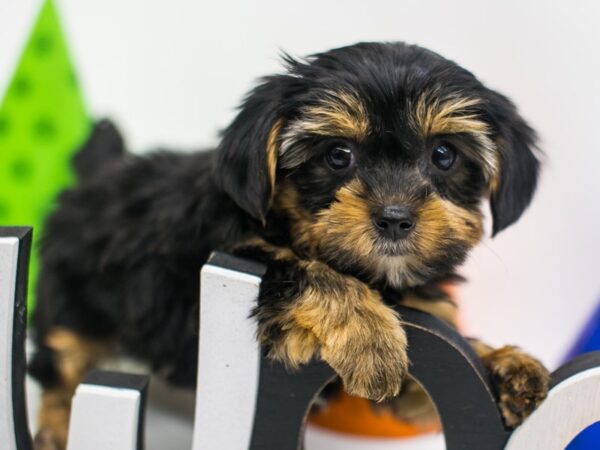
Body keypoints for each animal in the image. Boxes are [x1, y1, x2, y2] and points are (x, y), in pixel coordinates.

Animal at [30, 40, 552, 448]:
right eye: (338, 156)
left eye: (443, 155)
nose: (395, 218)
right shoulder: (210, 262)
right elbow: (300, 268)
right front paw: (371, 336)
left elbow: (435, 376)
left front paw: (503, 364)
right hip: (72, 298)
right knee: (62, 357)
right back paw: (57, 427)